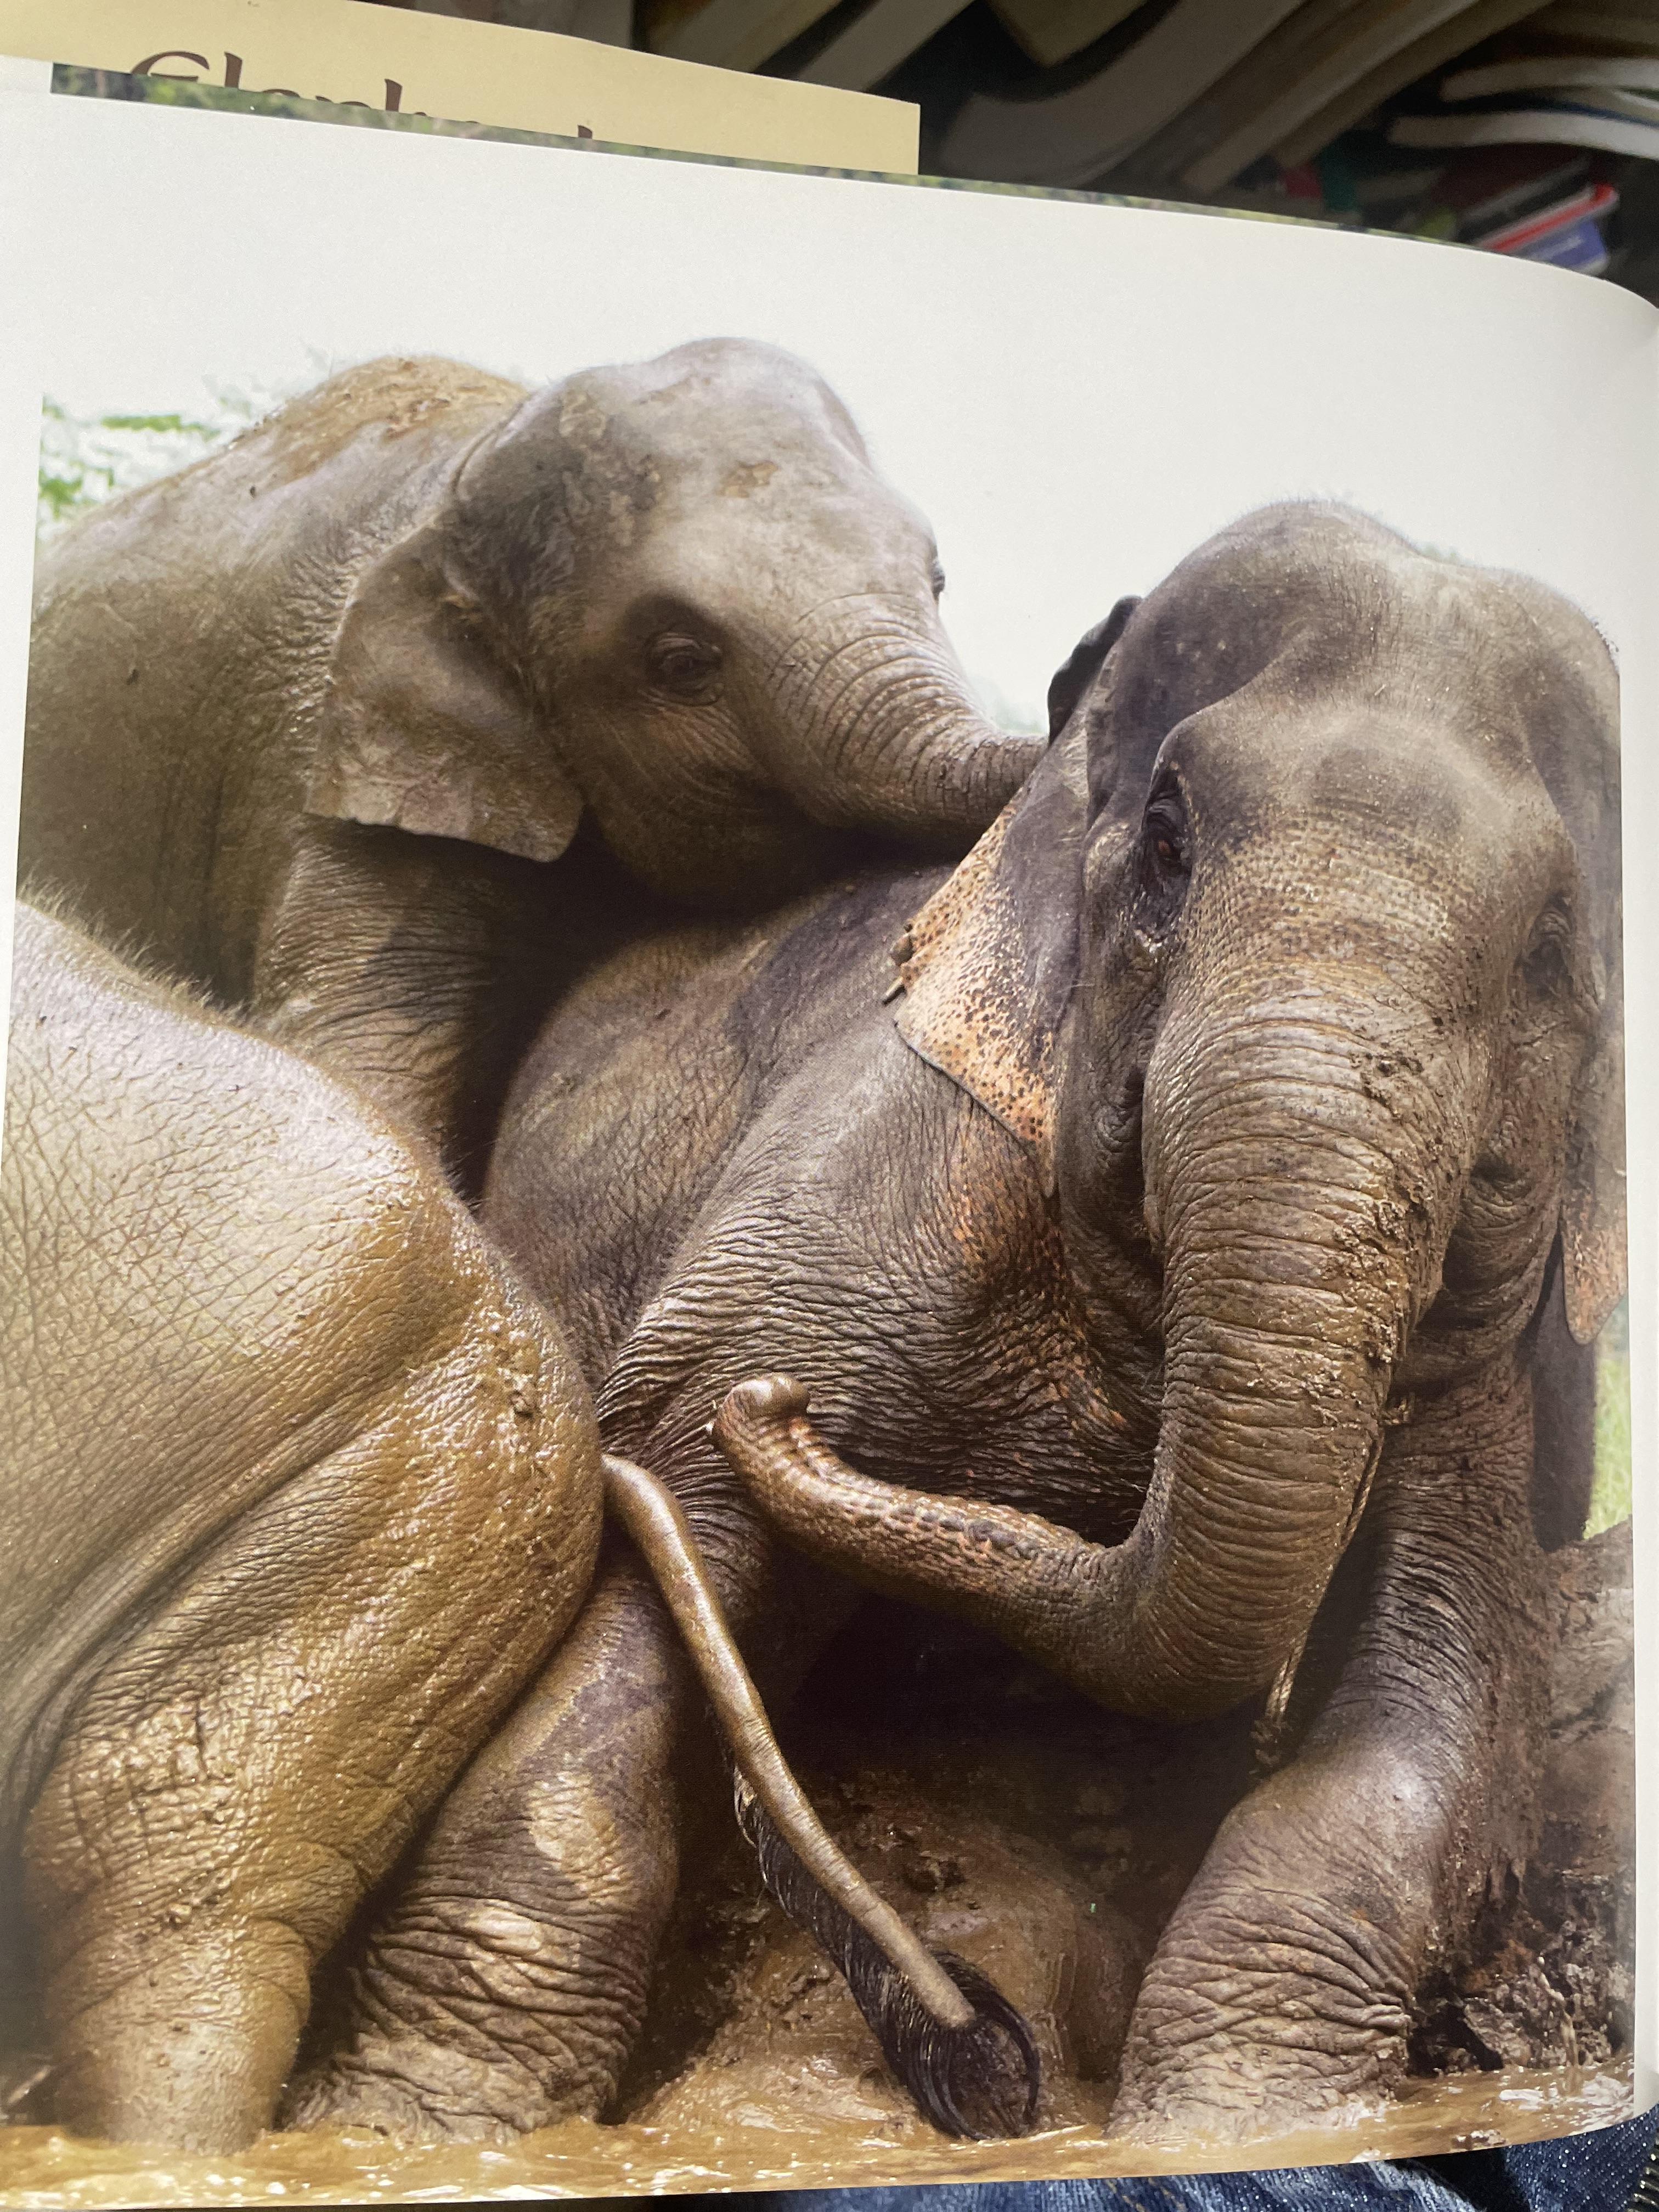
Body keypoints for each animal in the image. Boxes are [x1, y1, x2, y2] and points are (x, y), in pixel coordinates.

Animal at [287, 502, 1624, 2147]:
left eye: (1553, 946)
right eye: (1168, 845)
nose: (786, 1413)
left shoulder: (1516, 1369)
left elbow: (1432, 1690)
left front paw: (1246, 2124)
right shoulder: (880, 1163)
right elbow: (664, 1537)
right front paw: (418, 2121)